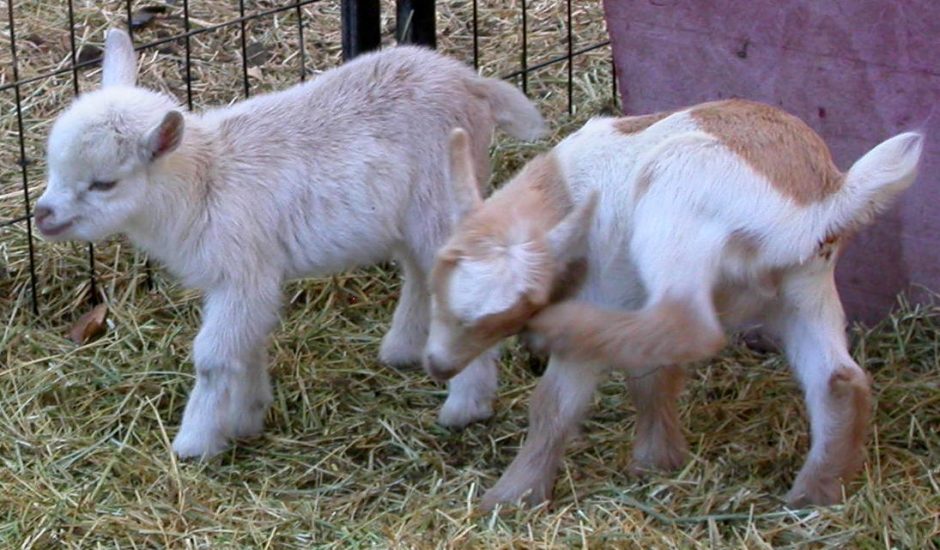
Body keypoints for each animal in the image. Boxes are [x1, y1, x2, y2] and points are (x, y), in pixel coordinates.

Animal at [35, 29, 546, 459]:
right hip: (410, 214)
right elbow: (248, 344)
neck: (204, 183)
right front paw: (247, 416)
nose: (42, 214)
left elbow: (214, 357)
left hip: (440, 198)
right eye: (53, 165)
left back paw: (466, 407)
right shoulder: (243, 280)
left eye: (104, 183)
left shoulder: (245, 269)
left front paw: (195, 443)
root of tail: (471, 82)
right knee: (422, 273)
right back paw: (403, 349)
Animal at [425, 99, 923, 509]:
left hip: (676, 200)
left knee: (687, 324)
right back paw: (814, 495)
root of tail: (824, 200)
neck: (568, 191)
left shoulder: (603, 295)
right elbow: (652, 378)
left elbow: (554, 405)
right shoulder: (633, 300)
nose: (437, 365)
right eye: (438, 289)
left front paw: (511, 497)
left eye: (507, 313)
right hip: (804, 288)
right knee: (839, 380)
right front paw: (656, 461)